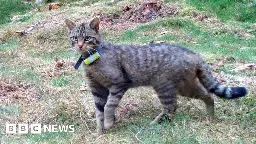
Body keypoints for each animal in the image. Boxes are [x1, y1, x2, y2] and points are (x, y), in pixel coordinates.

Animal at [65, 17, 247, 135]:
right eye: (74, 38)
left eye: (87, 38)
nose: (79, 45)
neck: (91, 60)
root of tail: (193, 54)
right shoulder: (97, 89)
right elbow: (99, 112)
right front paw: (99, 132)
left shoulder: (119, 84)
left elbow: (109, 106)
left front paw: (108, 123)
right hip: (186, 87)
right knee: (208, 95)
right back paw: (210, 116)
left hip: (164, 86)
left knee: (171, 106)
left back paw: (154, 123)